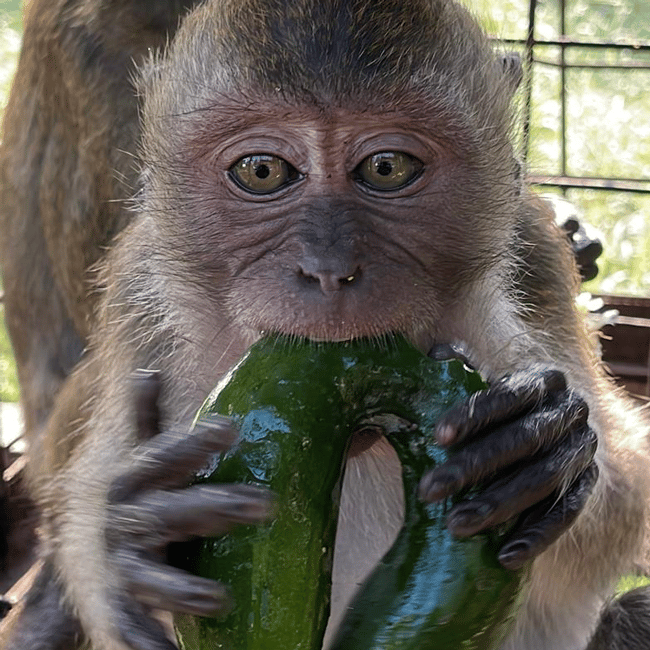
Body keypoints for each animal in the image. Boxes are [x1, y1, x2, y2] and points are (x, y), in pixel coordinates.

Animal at [0, 1, 649, 649]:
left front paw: (543, 450)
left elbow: (622, 500)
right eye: (262, 171)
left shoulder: (537, 259)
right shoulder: (136, 301)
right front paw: (137, 528)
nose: (329, 270)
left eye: (387, 168)